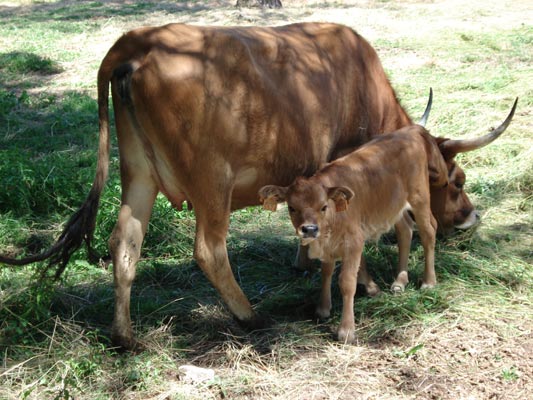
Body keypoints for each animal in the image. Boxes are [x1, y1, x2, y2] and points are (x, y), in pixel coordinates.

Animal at [259, 126, 448, 343]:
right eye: (291, 208)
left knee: (428, 232)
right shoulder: (329, 247)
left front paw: (346, 330)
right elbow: (326, 272)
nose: (309, 229)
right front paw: (323, 308)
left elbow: (347, 282)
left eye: (323, 206)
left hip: (420, 199)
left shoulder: (354, 243)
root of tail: (410, 130)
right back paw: (400, 281)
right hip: (395, 207)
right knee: (405, 231)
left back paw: (429, 282)